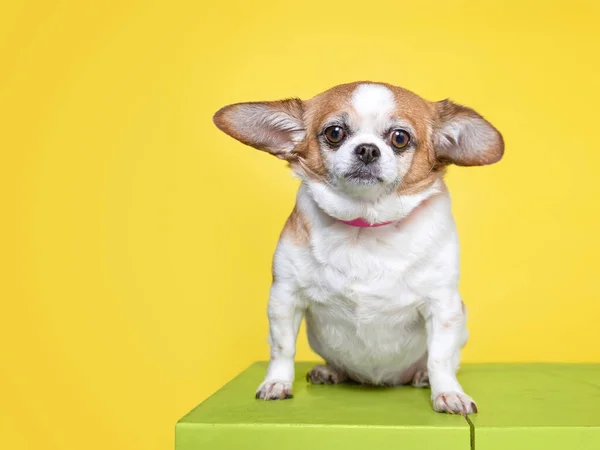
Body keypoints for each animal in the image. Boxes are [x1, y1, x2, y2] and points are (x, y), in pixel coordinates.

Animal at [213, 81, 504, 414]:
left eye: (400, 138)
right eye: (334, 133)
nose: (367, 149)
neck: (364, 226)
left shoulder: (443, 306)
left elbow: (440, 359)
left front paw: (448, 393)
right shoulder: (284, 298)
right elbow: (282, 348)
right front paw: (277, 383)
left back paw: (421, 377)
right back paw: (330, 371)